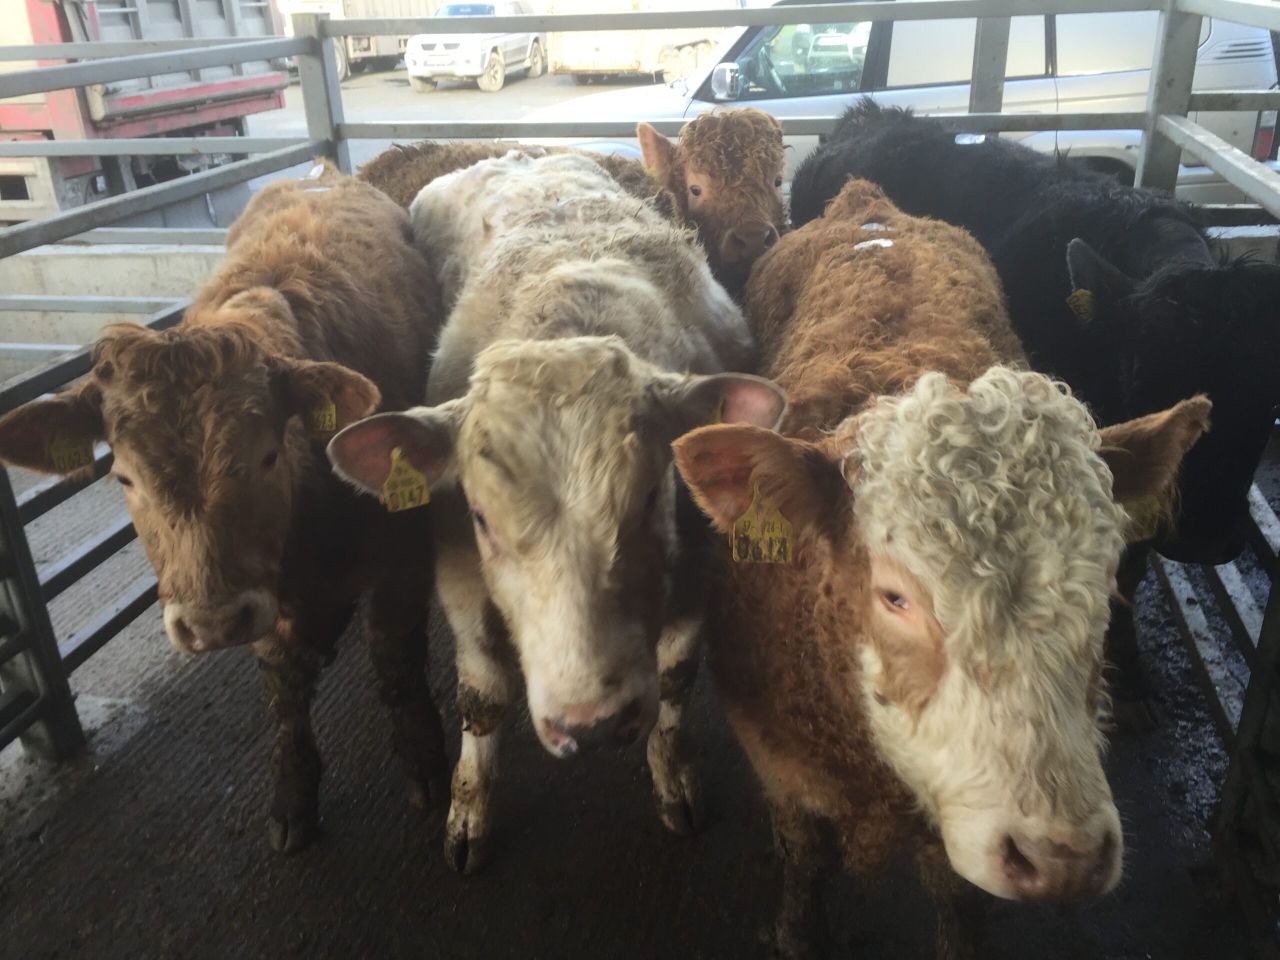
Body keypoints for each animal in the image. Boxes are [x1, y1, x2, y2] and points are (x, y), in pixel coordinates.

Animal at [0, 169, 447, 854]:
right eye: (123, 475)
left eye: (266, 455)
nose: (210, 623)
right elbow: (283, 685)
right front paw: (293, 792)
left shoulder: (404, 553)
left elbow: (395, 655)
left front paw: (424, 760)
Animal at [326, 151, 785, 874]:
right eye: (482, 518)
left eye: (651, 497)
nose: (592, 724)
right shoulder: (458, 569)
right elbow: (482, 695)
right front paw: (469, 808)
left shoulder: (698, 565)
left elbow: (677, 676)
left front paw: (674, 775)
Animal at [672, 179, 1210, 958]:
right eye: (894, 597)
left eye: (1110, 584)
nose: (1061, 857)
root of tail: (866, 203)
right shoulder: (785, 770)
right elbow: (803, 862)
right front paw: (798, 930)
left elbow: (958, 901)